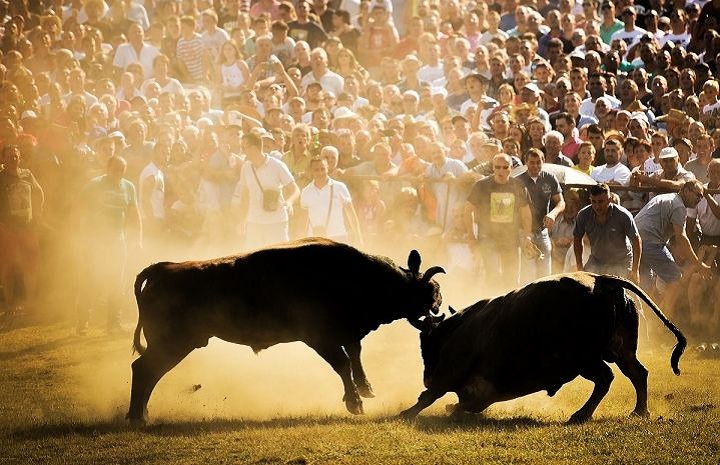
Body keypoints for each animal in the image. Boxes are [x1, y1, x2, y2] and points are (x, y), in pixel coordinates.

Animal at [129, 237, 444, 422]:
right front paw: (354, 403)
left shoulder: (346, 335)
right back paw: (137, 417)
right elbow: (343, 363)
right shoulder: (319, 339)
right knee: (144, 369)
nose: (439, 302)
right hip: (174, 344)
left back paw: (142, 414)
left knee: (148, 371)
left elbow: (354, 356)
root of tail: (164, 269)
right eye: (428, 291)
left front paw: (366, 390)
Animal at [400, 272, 688, 420]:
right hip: (621, 350)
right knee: (637, 373)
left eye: (427, 343)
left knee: (606, 378)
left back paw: (581, 415)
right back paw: (639, 412)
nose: (426, 377)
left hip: (584, 359)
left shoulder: (452, 372)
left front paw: (405, 413)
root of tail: (602, 279)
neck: (460, 328)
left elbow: (432, 395)